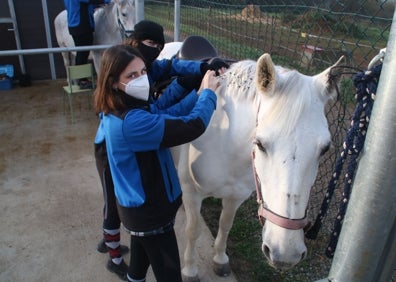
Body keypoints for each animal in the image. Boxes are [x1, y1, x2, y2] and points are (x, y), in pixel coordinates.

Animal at [162, 44, 342, 280]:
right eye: (260, 144)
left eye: (325, 149)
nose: (285, 254)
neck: (226, 139)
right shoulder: (192, 193)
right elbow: (193, 231)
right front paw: (190, 269)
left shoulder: (235, 196)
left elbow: (225, 224)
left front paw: (220, 259)